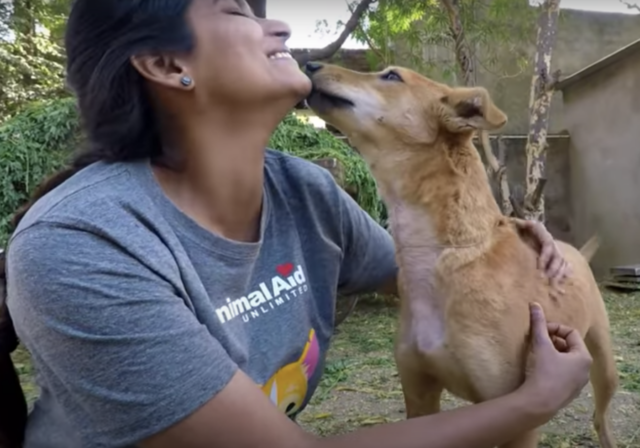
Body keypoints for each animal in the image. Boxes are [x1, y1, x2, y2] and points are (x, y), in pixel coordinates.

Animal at [308, 64, 616, 448]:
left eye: (392, 76)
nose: (311, 65)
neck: (443, 255)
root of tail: (574, 251)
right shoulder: (420, 394)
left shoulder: (523, 412)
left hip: (604, 363)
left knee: (600, 415)